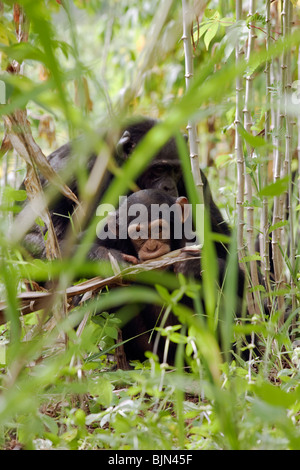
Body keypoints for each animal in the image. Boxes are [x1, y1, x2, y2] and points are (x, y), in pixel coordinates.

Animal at [21, 114, 231, 260]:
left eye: (175, 170)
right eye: (158, 169)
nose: (169, 187)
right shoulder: (64, 169)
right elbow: (39, 237)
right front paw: (107, 258)